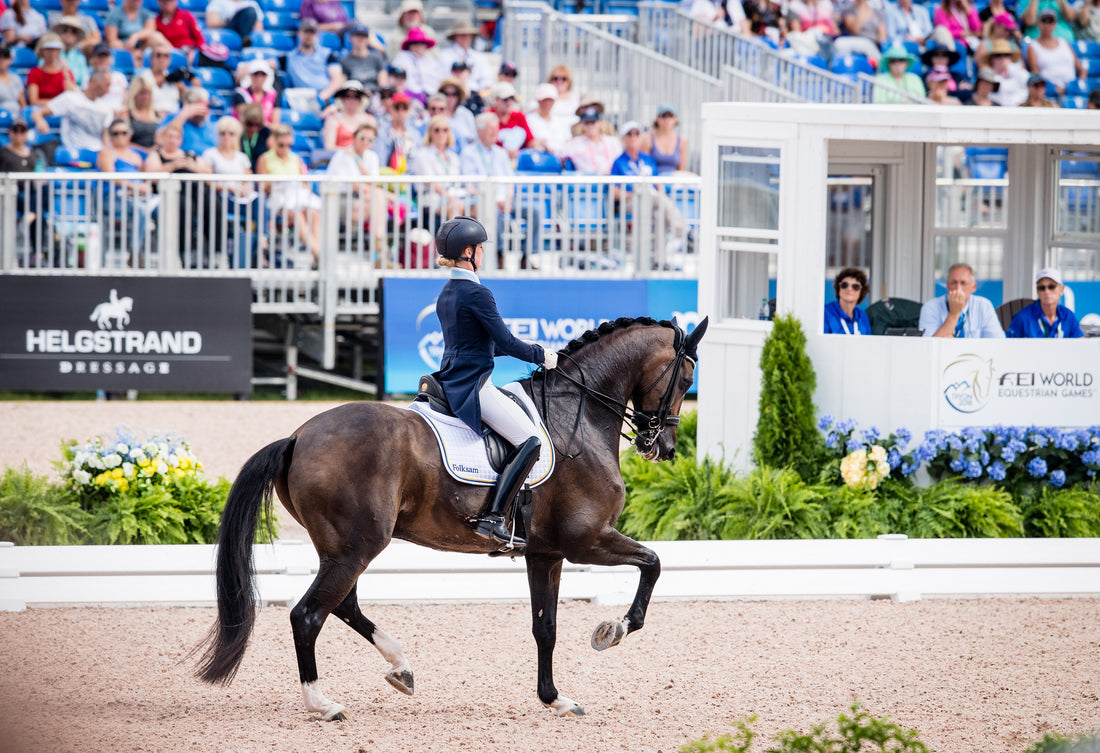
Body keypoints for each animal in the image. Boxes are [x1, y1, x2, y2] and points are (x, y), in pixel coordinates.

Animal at [193, 314, 708, 721]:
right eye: (685, 381)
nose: (663, 448)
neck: (574, 418)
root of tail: (298, 437)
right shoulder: (587, 540)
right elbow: (653, 562)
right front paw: (613, 630)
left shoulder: (545, 552)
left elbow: (545, 628)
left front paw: (555, 699)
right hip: (356, 547)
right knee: (309, 614)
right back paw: (324, 704)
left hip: (342, 547)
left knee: (342, 605)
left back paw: (400, 668)